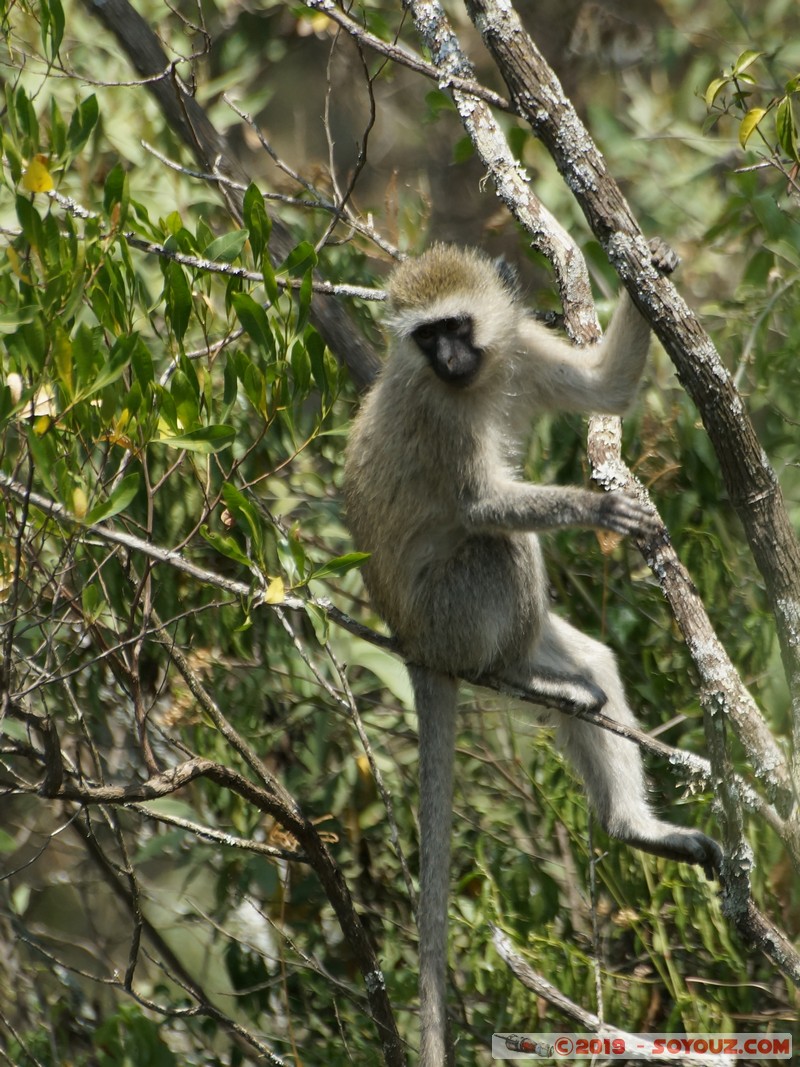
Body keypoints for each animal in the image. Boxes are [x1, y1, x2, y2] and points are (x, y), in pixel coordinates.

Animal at [345, 244, 725, 1067]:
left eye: (455, 326)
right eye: (426, 338)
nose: (448, 358)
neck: (476, 378)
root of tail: (411, 643)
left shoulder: (521, 346)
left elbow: (604, 387)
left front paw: (649, 268)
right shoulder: (436, 412)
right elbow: (483, 503)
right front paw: (597, 506)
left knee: (599, 663)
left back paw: (631, 823)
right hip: (454, 619)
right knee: (500, 544)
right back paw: (517, 673)